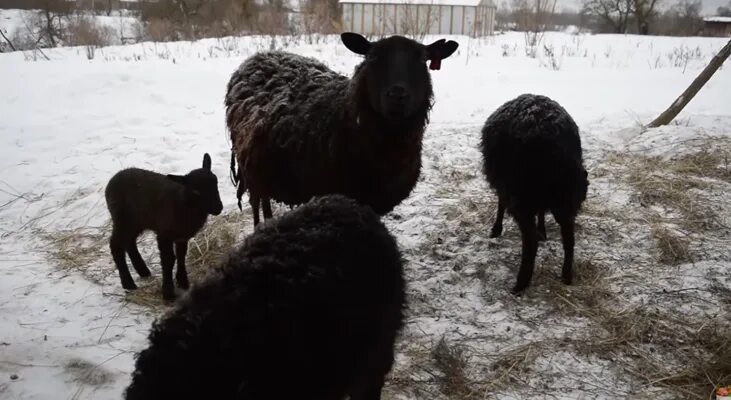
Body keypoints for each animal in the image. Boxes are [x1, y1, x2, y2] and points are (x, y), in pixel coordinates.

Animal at [226, 32, 460, 225]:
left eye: (422, 60)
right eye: (372, 58)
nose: (397, 95)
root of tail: (260, 56)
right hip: (251, 169)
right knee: (258, 204)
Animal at [484, 94, 592, 294]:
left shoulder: (504, 185)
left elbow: (501, 202)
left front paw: (496, 228)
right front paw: (542, 230)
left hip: (522, 196)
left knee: (530, 241)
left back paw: (521, 283)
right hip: (567, 200)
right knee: (569, 239)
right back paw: (566, 275)